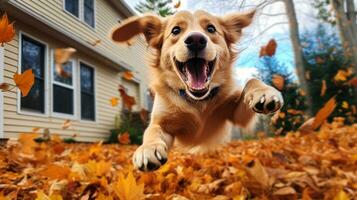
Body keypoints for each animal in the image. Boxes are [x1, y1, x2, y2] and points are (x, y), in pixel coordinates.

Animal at [111, 10, 284, 171]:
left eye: (211, 28)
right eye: (175, 30)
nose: (195, 40)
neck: (197, 100)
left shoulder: (237, 115)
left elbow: (251, 81)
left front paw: (264, 92)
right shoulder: (163, 123)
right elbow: (152, 131)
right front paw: (148, 148)